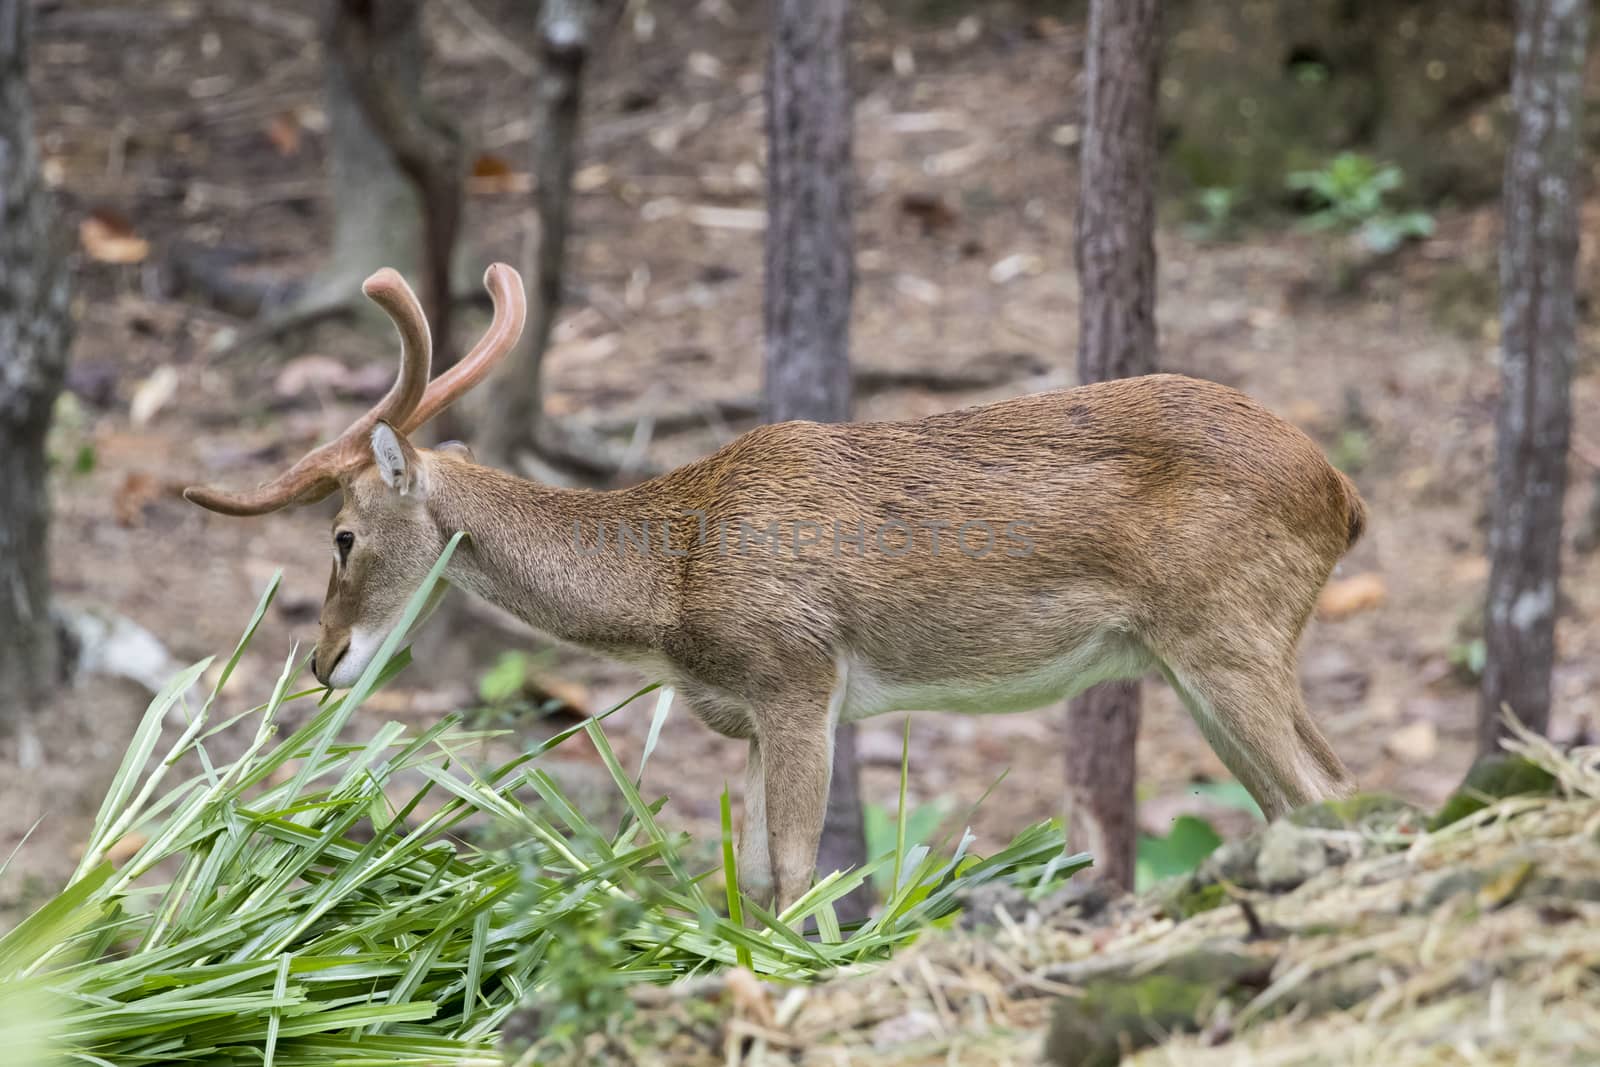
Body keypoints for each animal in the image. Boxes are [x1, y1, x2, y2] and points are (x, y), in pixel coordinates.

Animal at [184, 262, 1363, 915]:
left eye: (340, 535)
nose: (323, 660)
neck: (670, 587)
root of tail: (1344, 497)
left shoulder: (799, 672)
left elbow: (799, 874)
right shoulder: (748, 714)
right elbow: (748, 874)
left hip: (1224, 631)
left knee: (1320, 796)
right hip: (1219, 654)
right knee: (1325, 789)